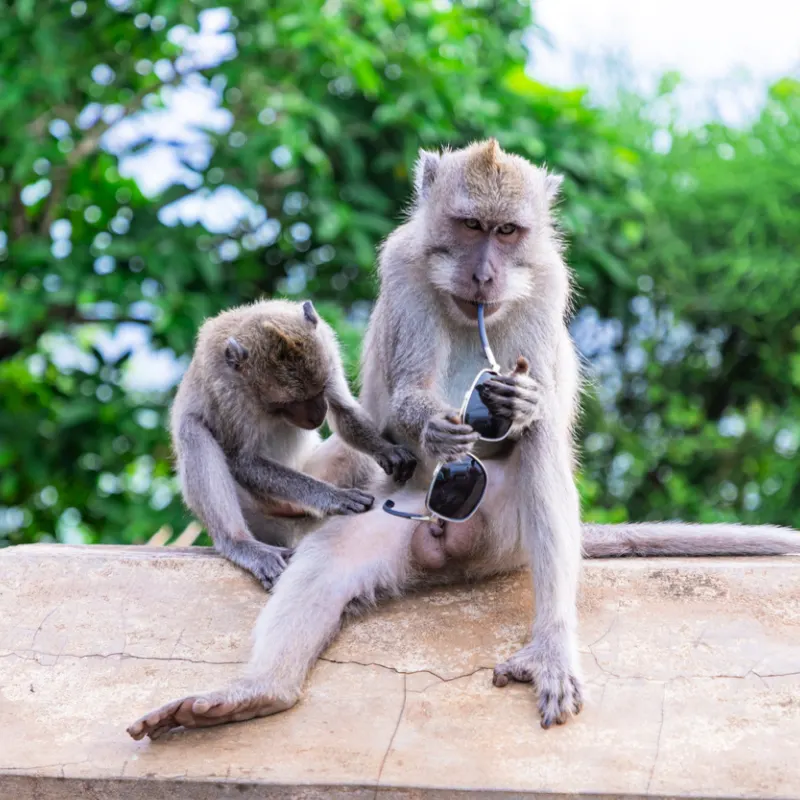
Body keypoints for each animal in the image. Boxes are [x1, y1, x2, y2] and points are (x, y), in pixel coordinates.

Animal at [169, 298, 416, 590]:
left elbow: (344, 412)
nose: (317, 414)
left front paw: (386, 450)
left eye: (321, 389)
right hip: (261, 510)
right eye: (288, 403)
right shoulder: (226, 392)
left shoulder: (327, 348)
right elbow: (242, 460)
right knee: (192, 431)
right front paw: (334, 496)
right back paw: (239, 542)